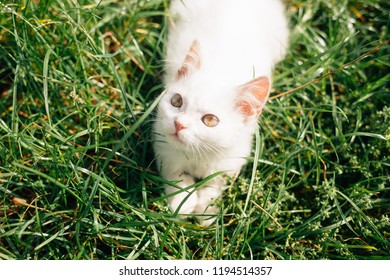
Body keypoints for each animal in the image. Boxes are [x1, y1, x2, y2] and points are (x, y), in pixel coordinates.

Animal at [154, 0, 288, 225]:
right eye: (176, 101)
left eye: (210, 120)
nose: (179, 124)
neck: (198, 155)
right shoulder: (162, 145)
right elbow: (175, 175)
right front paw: (181, 203)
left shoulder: (231, 162)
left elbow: (215, 186)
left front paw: (205, 210)